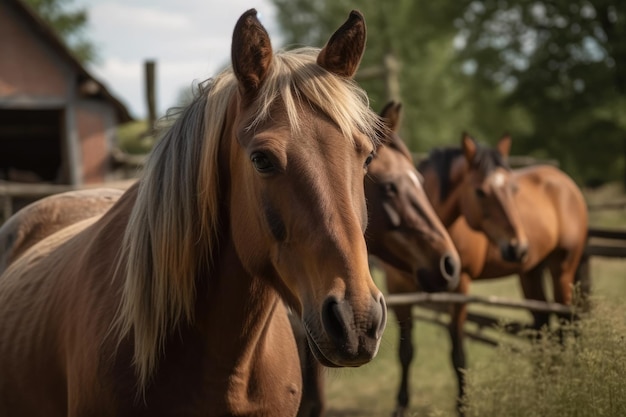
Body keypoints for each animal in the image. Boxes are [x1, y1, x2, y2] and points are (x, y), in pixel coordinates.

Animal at [388, 132, 588, 412]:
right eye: (480, 191)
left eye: (513, 189)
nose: (517, 247)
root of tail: (564, 182)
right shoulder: (399, 292)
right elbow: (405, 352)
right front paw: (401, 405)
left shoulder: (459, 290)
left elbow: (458, 354)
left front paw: (462, 407)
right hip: (531, 273)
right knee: (542, 325)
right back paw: (544, 388)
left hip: (563, 269)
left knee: (570, 321)